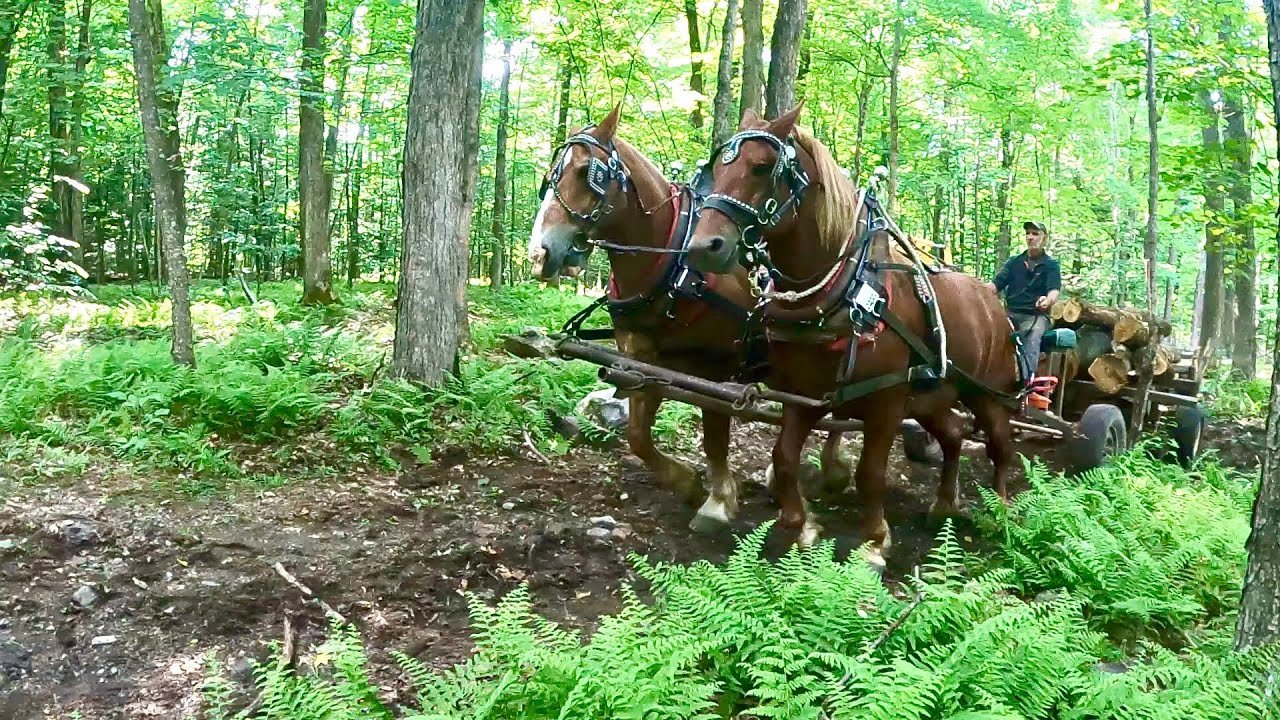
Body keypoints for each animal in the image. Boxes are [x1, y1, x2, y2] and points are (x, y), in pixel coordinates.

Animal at [526, 105, 853, 533]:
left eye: (586, 172)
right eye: (552, 174)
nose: (539, 253)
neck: (671, 263)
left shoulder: (715, 368)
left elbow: (714, 435)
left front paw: (718, 501)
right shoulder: (643, 361)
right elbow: (638, 435)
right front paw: (688, 483)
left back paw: (832, 471)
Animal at [684, 105, 1020, 567]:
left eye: (762, 166)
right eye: (716, 167)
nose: (704, 246)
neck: (845, 293)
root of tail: (993, 299)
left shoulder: (886, 401)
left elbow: (870, 473)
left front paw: (874, 542)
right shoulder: (804, 393)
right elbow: (784, 457)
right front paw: (802, 526)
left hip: (986, 393)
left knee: (1000, 445)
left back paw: (1001, 511)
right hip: (932, 395)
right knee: (953, 435)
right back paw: (943, 505)